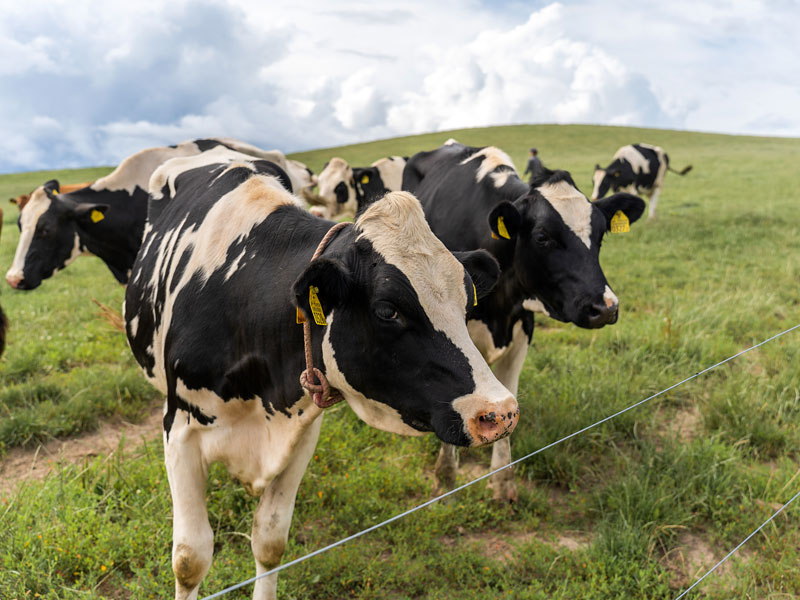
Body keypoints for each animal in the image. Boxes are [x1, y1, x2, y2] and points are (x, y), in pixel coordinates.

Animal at [122, 151, 516, 600]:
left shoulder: (302, 430)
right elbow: (190, 559)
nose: (499, 411)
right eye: (387, 310)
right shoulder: (180, 431)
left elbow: (270, 540)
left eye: (467, 301)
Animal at [404, 141, 648, 502]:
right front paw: (445, 476)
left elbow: (510, 402)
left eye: (601, 235)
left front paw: (503, 484)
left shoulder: (522, 327)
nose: (604, 308)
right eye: (543, 237)